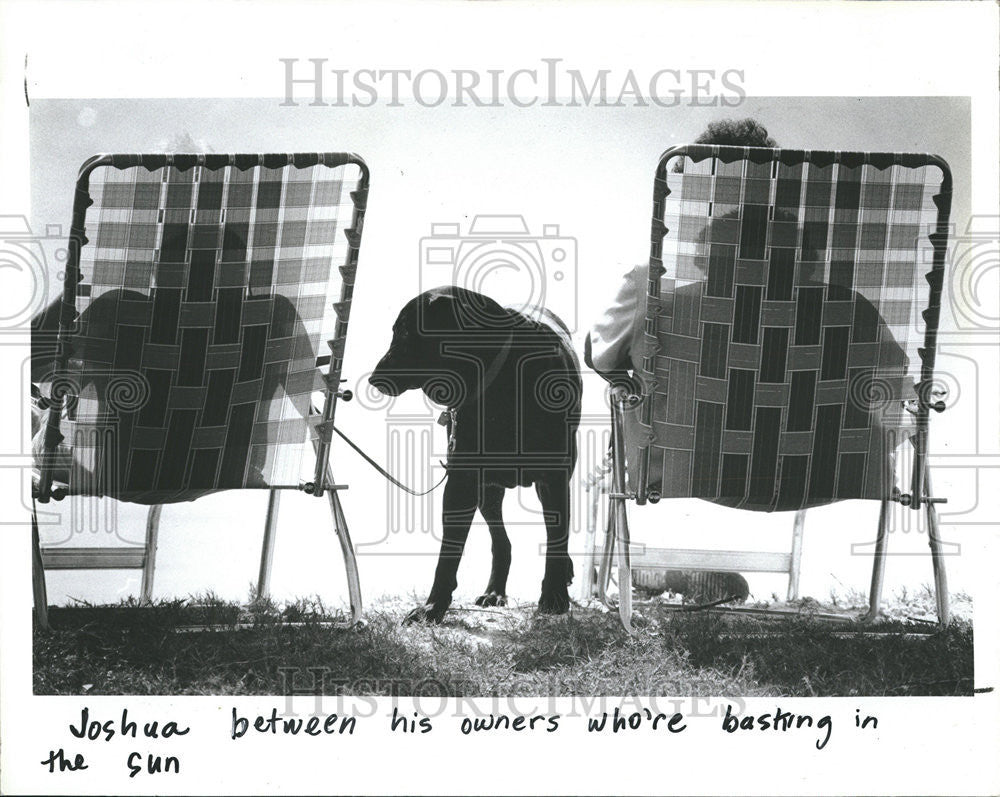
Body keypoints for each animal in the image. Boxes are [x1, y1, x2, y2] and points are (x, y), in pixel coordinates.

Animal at [372, 286, 584, 620]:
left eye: (404, 331)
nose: (373, 379)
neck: (500, 378)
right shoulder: (463, 479)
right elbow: (449, 552)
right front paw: (433, 606)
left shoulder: (554, 477)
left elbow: (557, 538)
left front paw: (554, 597)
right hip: (489, 489)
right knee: (502, 542)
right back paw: (495, 591)